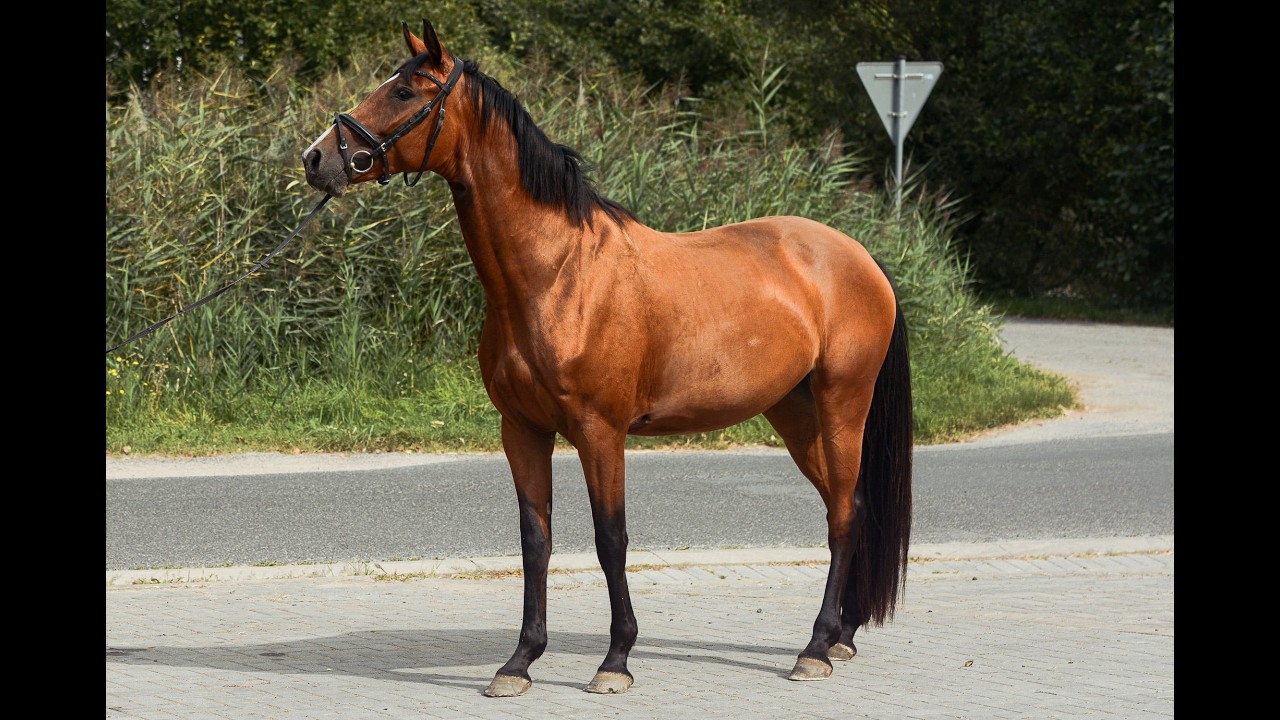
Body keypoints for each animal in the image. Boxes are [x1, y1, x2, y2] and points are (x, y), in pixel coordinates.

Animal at [302, 20, 913, 697]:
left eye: (406, 92)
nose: (317, 159)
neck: (557, 275)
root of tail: (860, 257)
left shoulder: (601, 432)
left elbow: (610, 539)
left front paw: (615, 660)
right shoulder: (522, 430)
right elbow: (535, 541)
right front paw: (519, 662)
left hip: (841, 407)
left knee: (843, 515)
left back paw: (814, 648)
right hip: (794, 413)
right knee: (848, 508)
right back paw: (840, 637)